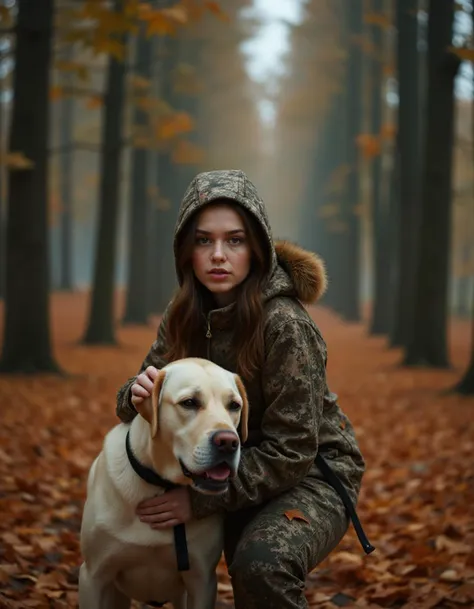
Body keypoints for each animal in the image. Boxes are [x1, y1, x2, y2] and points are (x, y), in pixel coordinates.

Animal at [78, 356, 248, 608]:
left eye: (234, 406)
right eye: (189, 402)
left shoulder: (202, 581)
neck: (160, 485)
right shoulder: (93, 576)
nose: (228, 442)